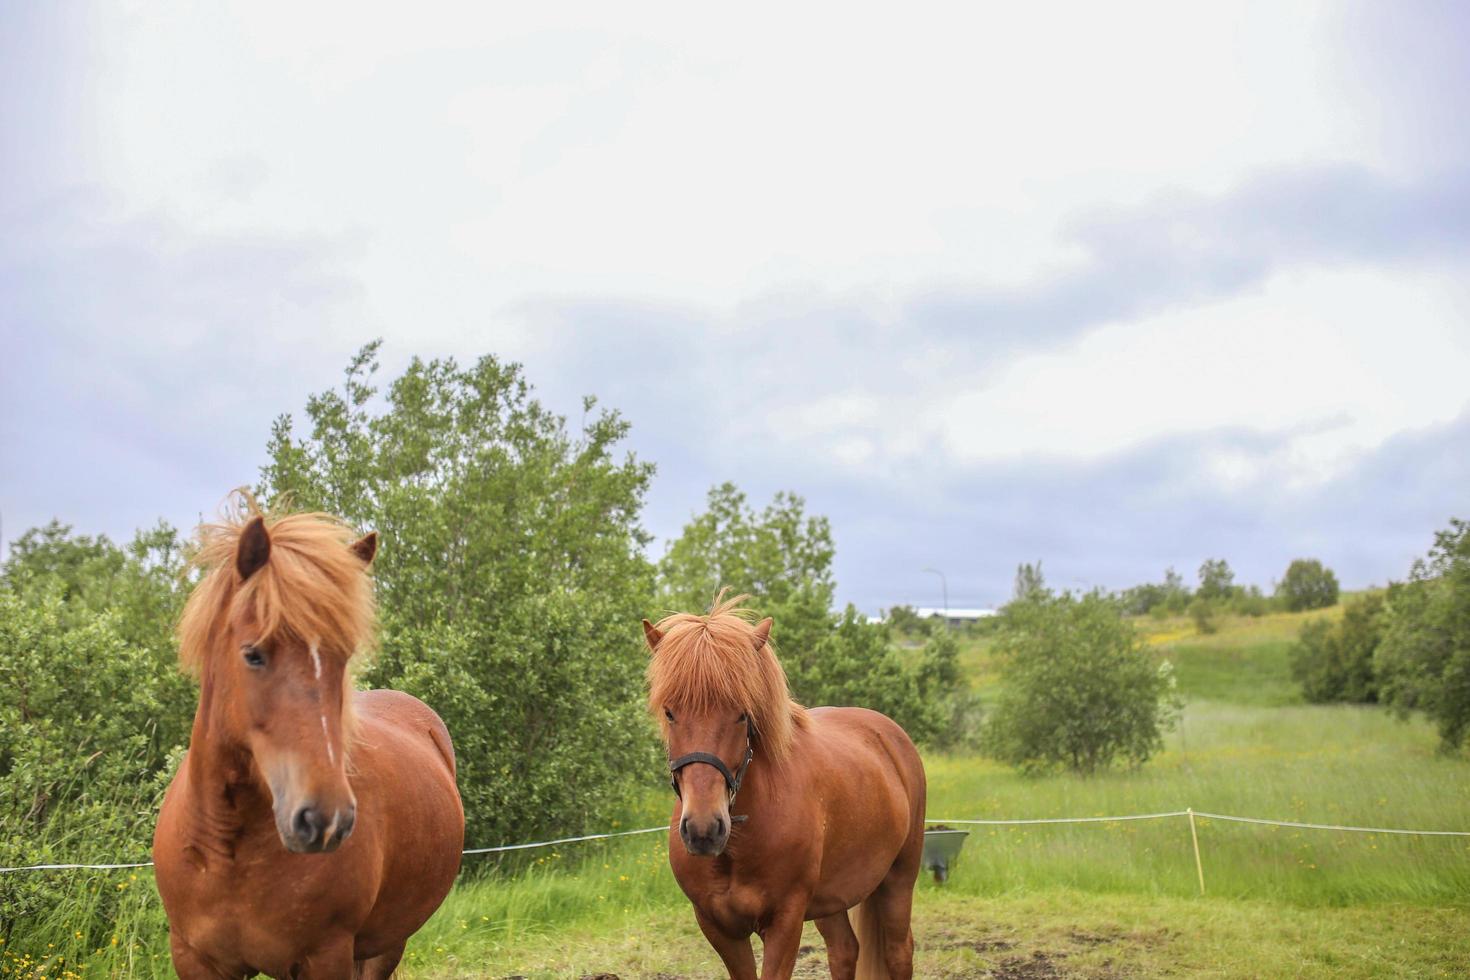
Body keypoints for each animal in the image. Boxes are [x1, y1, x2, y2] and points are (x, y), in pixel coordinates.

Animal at [152, 502, 461, 975]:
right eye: (253, 654)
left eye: (344, 657)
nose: (325, 819)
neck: (231, 854)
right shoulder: (193, 959)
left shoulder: (325, 956)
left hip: (387, 945)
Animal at [640, 593, 923, 975]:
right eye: (670, 712)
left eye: (742, 713)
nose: (704, 829)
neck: (740, 845)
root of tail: (889, 734)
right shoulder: (719, 928)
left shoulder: (785, 923)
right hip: (832, 897)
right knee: (844, 950)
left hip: (898, 880)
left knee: (898, 952)